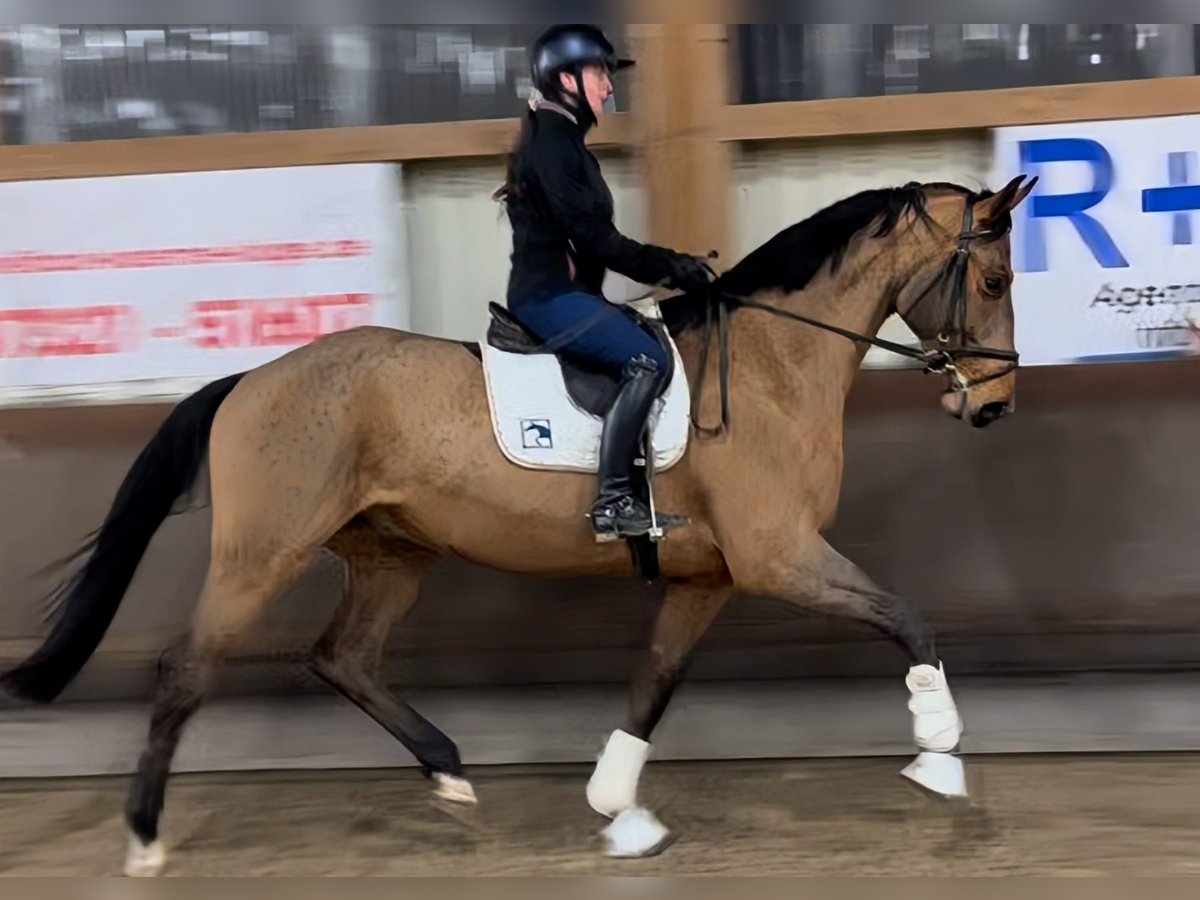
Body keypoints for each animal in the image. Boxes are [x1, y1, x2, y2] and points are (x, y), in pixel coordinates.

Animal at [0, 172, 1036, 878]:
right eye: (993, 281)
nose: (994, 406)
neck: (775, 366)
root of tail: (250, 380)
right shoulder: (778, 557)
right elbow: (907, 617)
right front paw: (940, 752)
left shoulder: (712, 576)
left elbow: (653, 682)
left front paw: (619, 808)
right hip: (263, 553)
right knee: (188, 669)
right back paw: (143, 840)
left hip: (394, 554)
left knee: (343, 657)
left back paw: (450, 772)